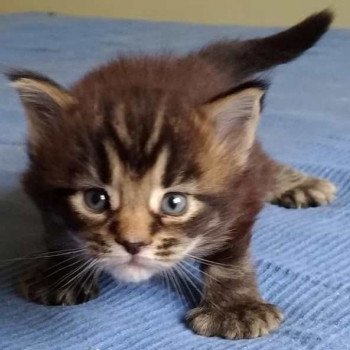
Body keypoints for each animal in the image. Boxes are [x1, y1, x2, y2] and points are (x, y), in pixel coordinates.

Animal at [8, 10, 336, 340]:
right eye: (95, 199)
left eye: (174, 203)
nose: (133, 244)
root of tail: (187, 62)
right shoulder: (38, 184)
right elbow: (58, 232)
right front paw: (60, 275)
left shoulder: (242, 195)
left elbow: (230, 255)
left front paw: (235, 306)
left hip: (251, 161)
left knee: (266, 166)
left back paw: (301, 184)